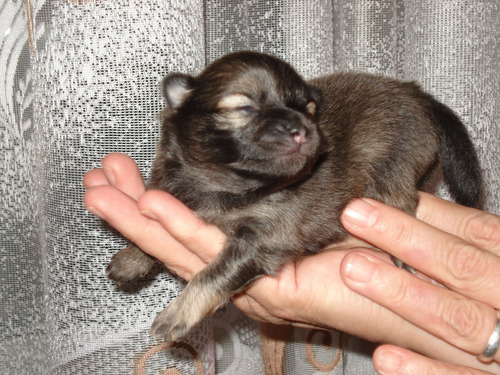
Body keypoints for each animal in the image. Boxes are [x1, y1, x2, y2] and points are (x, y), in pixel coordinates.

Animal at [104, 50, 480, 340]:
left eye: (309, 110)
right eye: (244, 109)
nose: (302, 129)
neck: (225, 183)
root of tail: (417, 94)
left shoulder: (262, 240)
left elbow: (213, 275)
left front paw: (177, 314)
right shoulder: (173, 188)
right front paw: (131, 259)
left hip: (394, 167)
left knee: (404, 199)